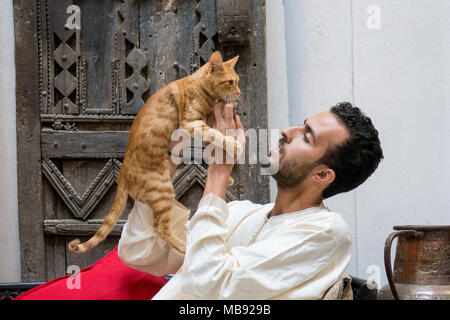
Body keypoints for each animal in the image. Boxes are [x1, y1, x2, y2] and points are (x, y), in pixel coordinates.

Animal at [68, 51, 241, 254]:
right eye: (230, 82)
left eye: (237, 81)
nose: (239, 93)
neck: (200, 87)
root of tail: (123, 174)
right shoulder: (192, 123)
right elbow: (216, 135)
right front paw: (235, 146)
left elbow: (209, 148)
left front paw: (228, 177)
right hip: (163, 191)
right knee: (159, 228)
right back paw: (185, 249)